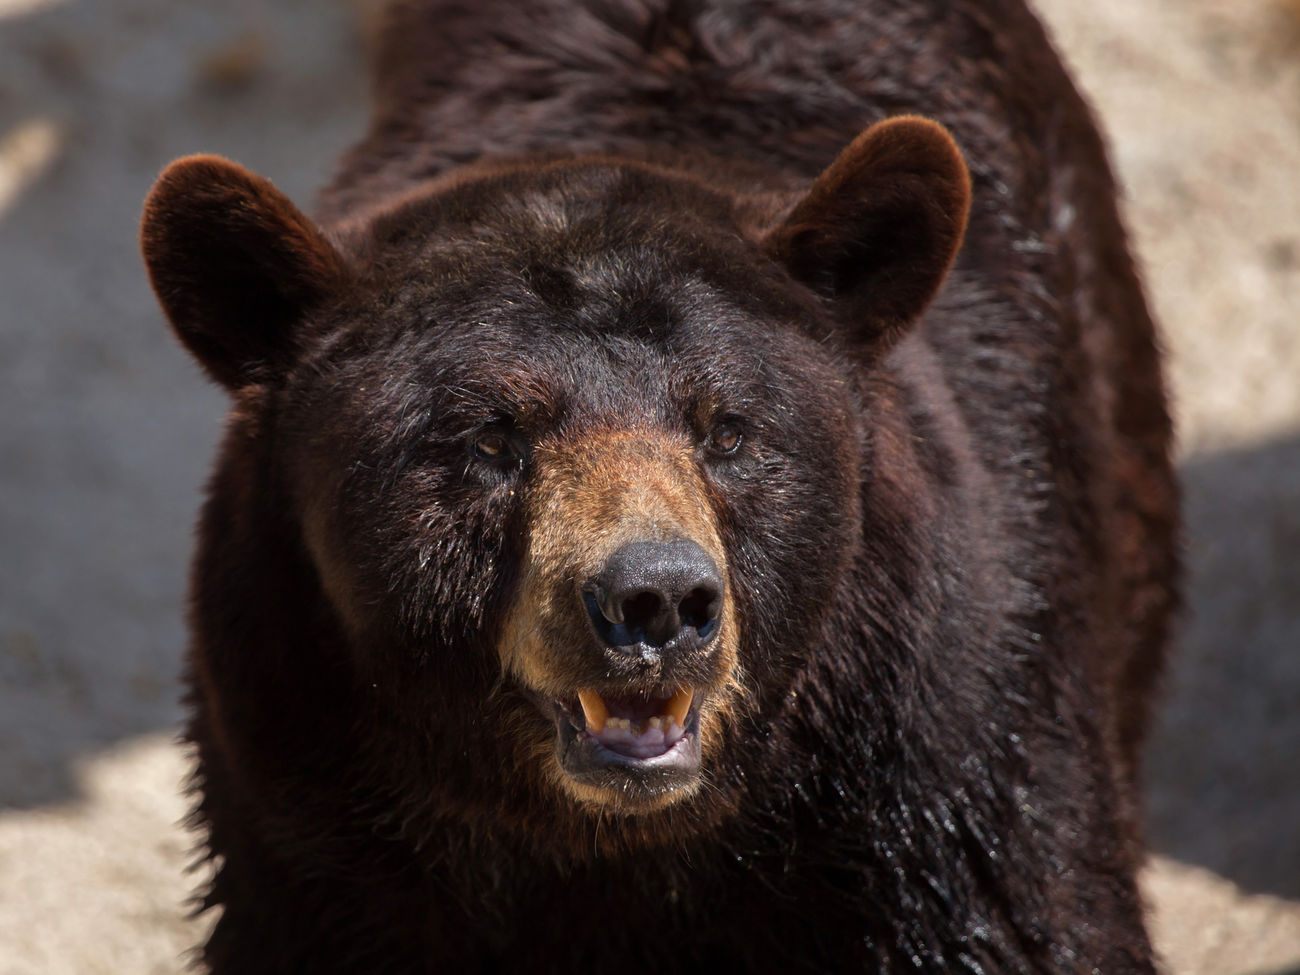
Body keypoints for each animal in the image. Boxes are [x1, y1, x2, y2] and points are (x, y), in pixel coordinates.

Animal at [139, 0, 1180, 972]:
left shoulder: (949, 771)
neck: (624, 847)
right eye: (490, 437)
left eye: (728, 428)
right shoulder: (308, 814)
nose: (657, 599)